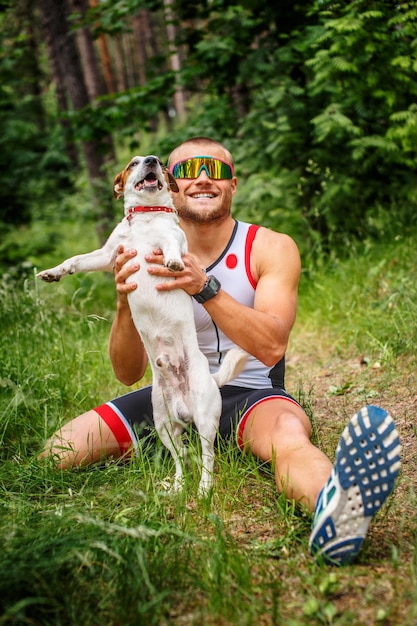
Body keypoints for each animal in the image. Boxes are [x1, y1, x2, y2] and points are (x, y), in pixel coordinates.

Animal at [36, 155, 247, 492]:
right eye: (133, 163)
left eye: (159, 162)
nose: (150, 160)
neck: (146, 217)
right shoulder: (109, 255)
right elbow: (77, 260)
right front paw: (53, 272)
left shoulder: (171, 239)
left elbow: (171, 246)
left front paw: (173, 262)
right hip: (163, 423)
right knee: (180, 458)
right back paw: (176, 487)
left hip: (204, 419)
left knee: (207, 457)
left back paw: (203, 489)